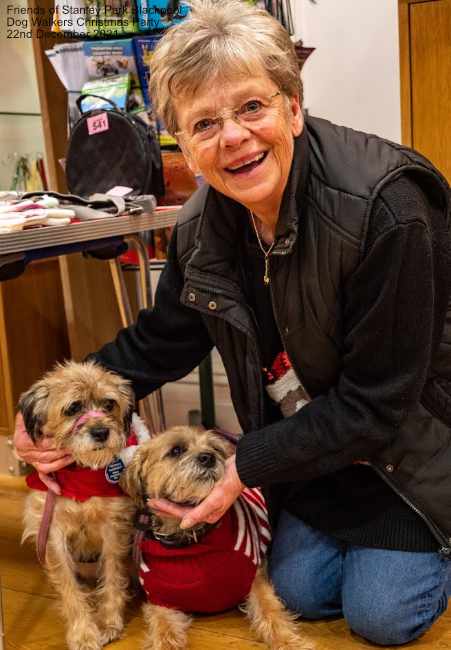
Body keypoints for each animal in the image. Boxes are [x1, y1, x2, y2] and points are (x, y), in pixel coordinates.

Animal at [19, 360, 136, 648]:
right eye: (73, 408)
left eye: (109, 404)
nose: (101, 432)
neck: (80, 471)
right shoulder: (52, 535)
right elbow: (69, 589)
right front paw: (83, 633)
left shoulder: (113, 529)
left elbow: (113, 575)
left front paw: (109, 622)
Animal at [122, 426, 302, 648]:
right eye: (176, 450)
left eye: (215, 448)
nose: (208, 457)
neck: (191, 540)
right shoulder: (160, 602)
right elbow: (164, 635)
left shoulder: (256, 579)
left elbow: (272, 613)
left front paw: (290, 643)